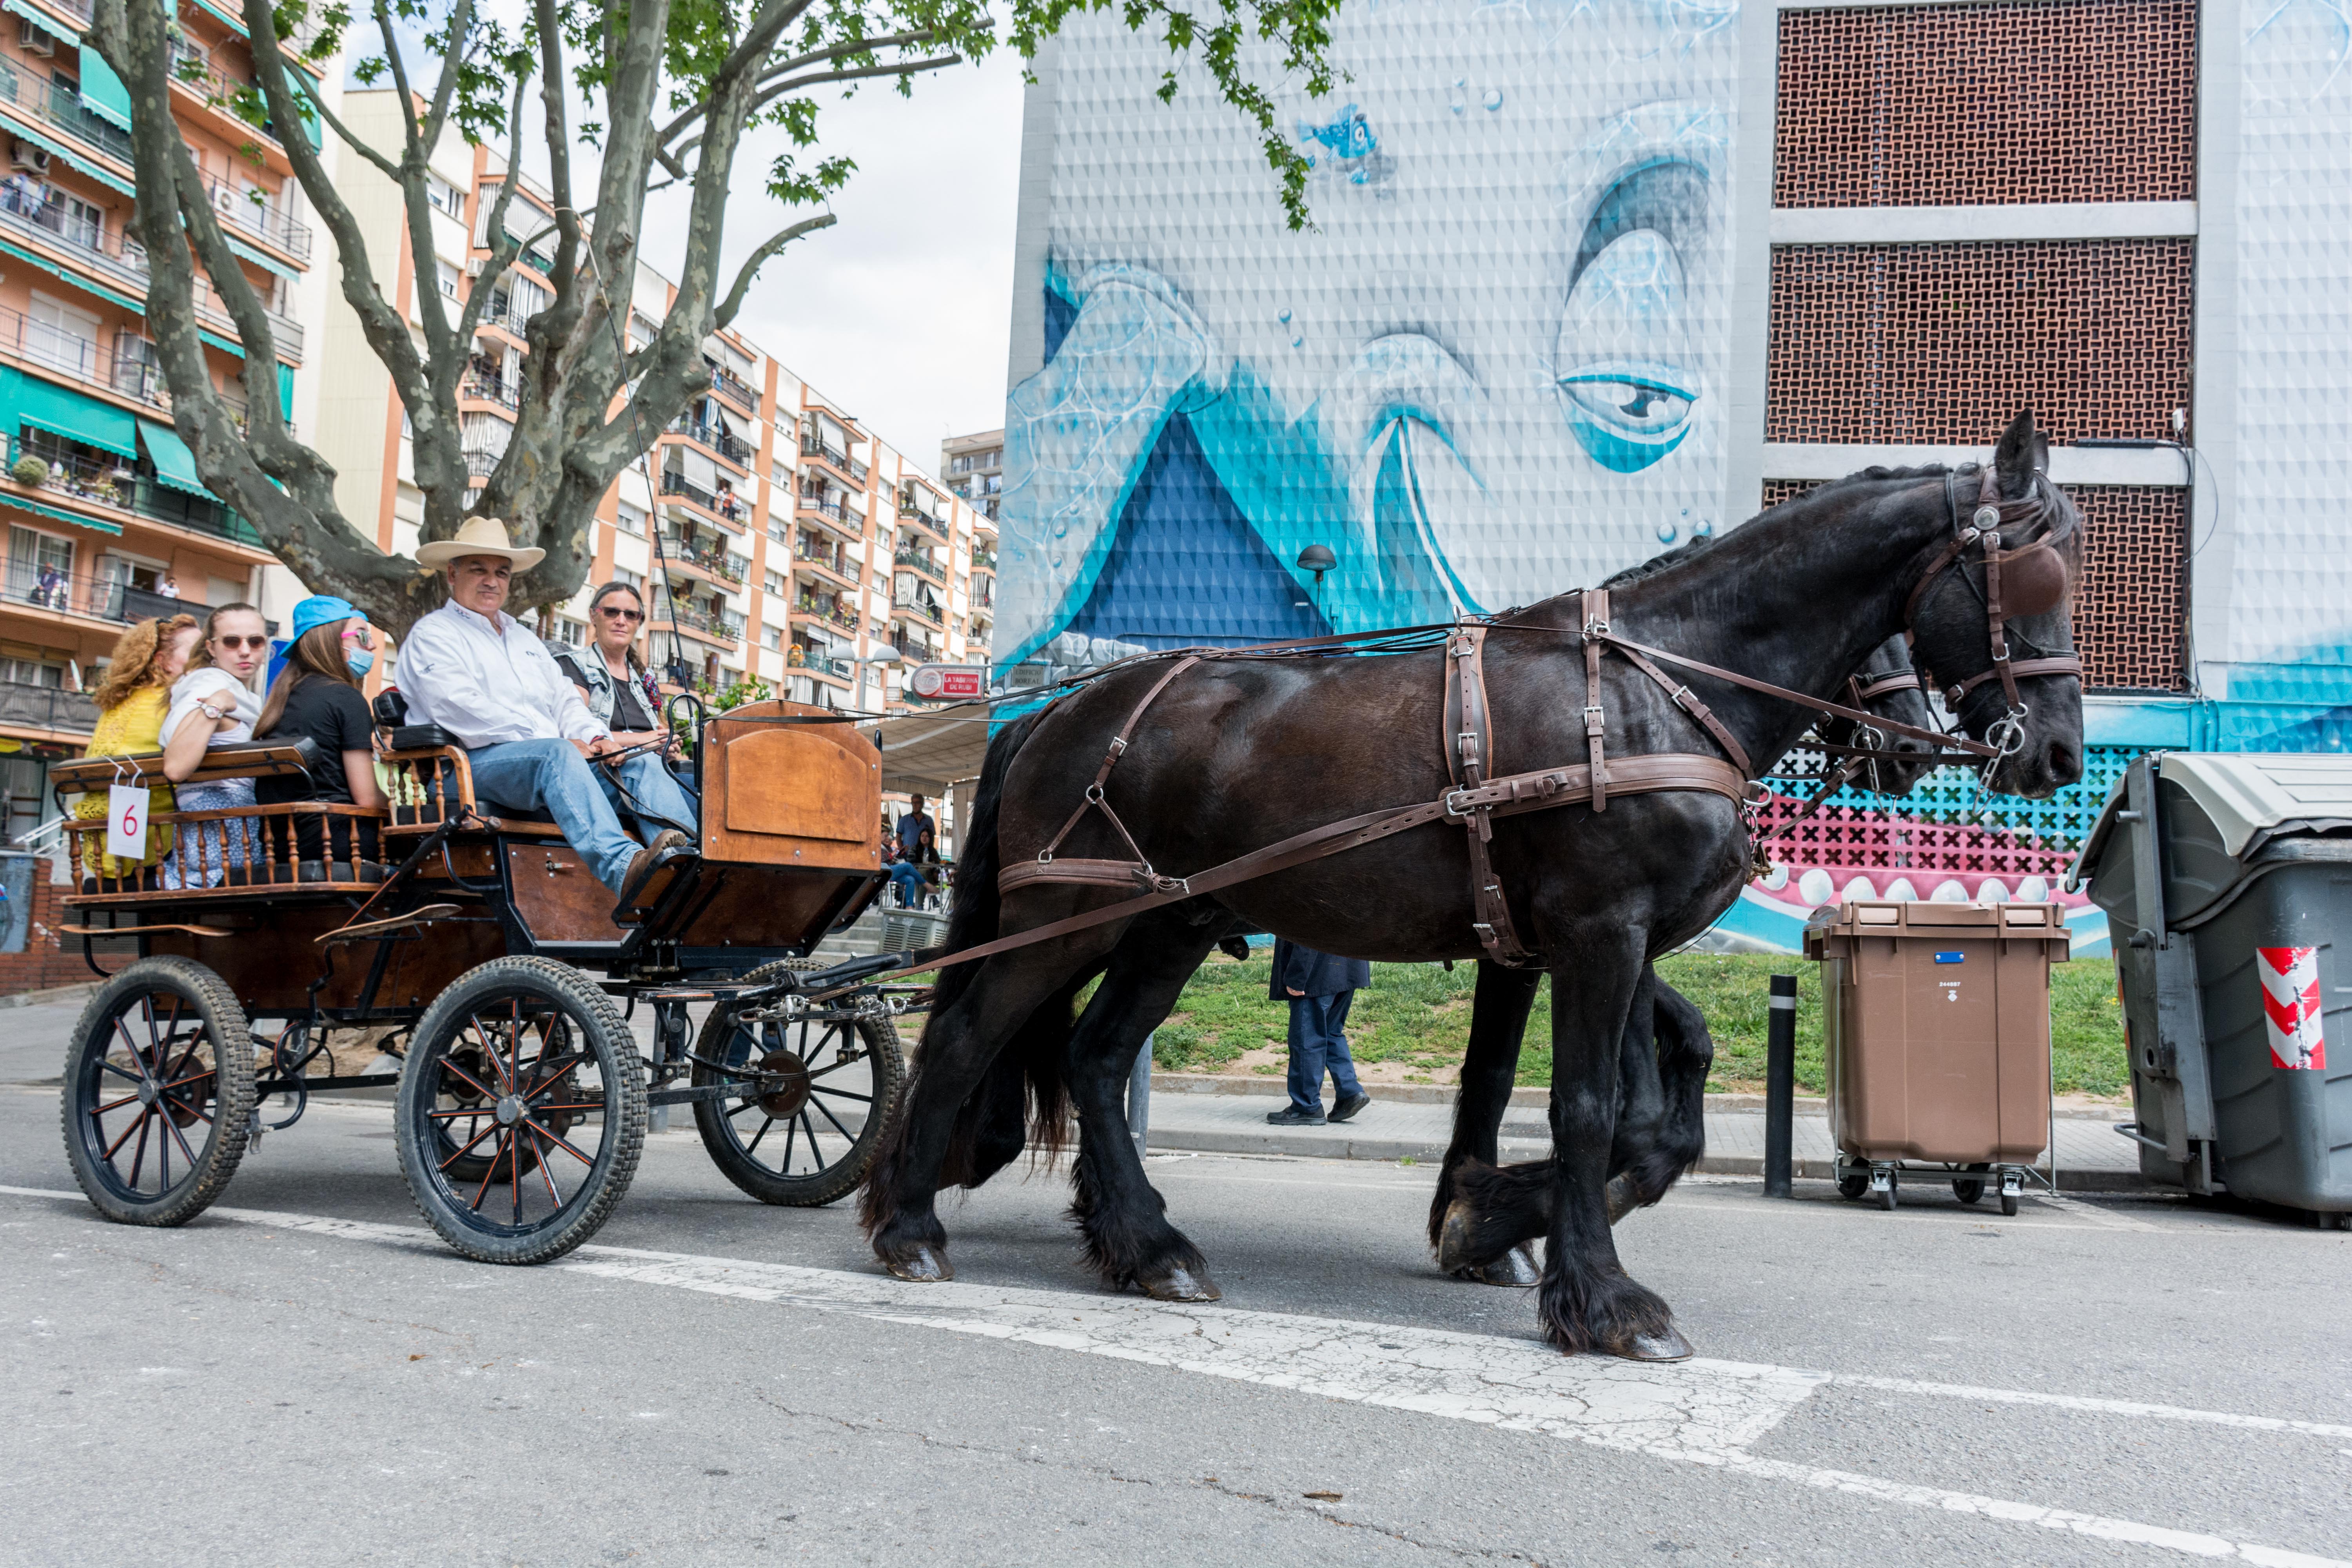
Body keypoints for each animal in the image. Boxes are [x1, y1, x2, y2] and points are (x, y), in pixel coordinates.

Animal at [866, 416, 2079, 1363]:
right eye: (2036, 577)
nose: (2058, 754)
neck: (1659, 683)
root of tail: (1055, 710)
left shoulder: (1598, 939)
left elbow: (1632, 1109)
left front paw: (1487, 1215)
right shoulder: (1597, 931)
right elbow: (1588, 1108)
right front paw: (1599, 1294)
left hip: (1169, 921)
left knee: (1096, 1057)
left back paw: (1144, 1245)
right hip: (1062, 916)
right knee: (968, 1034)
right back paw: (910, 1224)